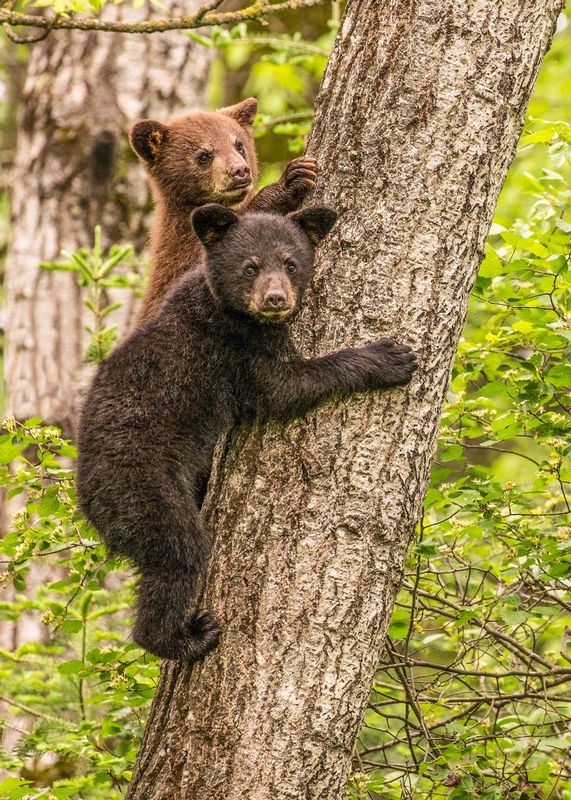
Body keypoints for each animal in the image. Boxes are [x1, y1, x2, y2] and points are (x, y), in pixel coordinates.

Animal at [76, 206, 417, 662]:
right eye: (250, 267)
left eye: (291, 263)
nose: (275, 299)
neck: (226, 307)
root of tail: (87, 498)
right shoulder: (237, 352)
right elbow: (286, 389)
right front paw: (387, 358)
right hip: (142, 489)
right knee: (178, 552)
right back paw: (182, 637)